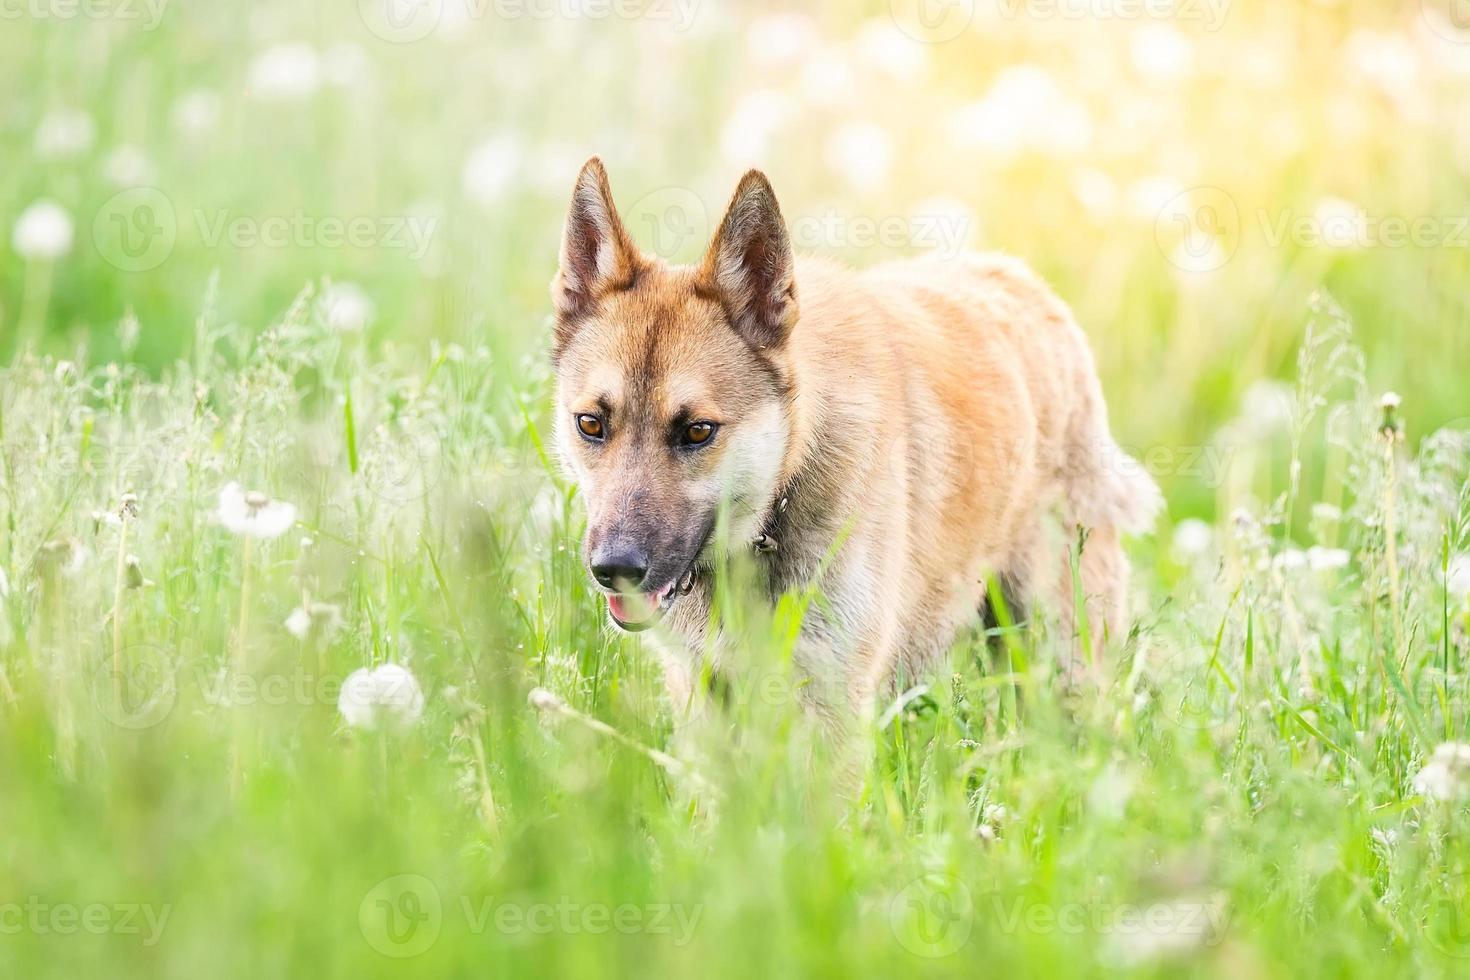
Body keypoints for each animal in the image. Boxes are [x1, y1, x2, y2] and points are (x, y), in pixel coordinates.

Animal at [549, 159, 1158, 728]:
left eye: (698, 431)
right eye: (591, 425)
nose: (614, 567)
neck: (785, 483)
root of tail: (1022, 281)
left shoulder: (831, 698)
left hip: (1057, 657)